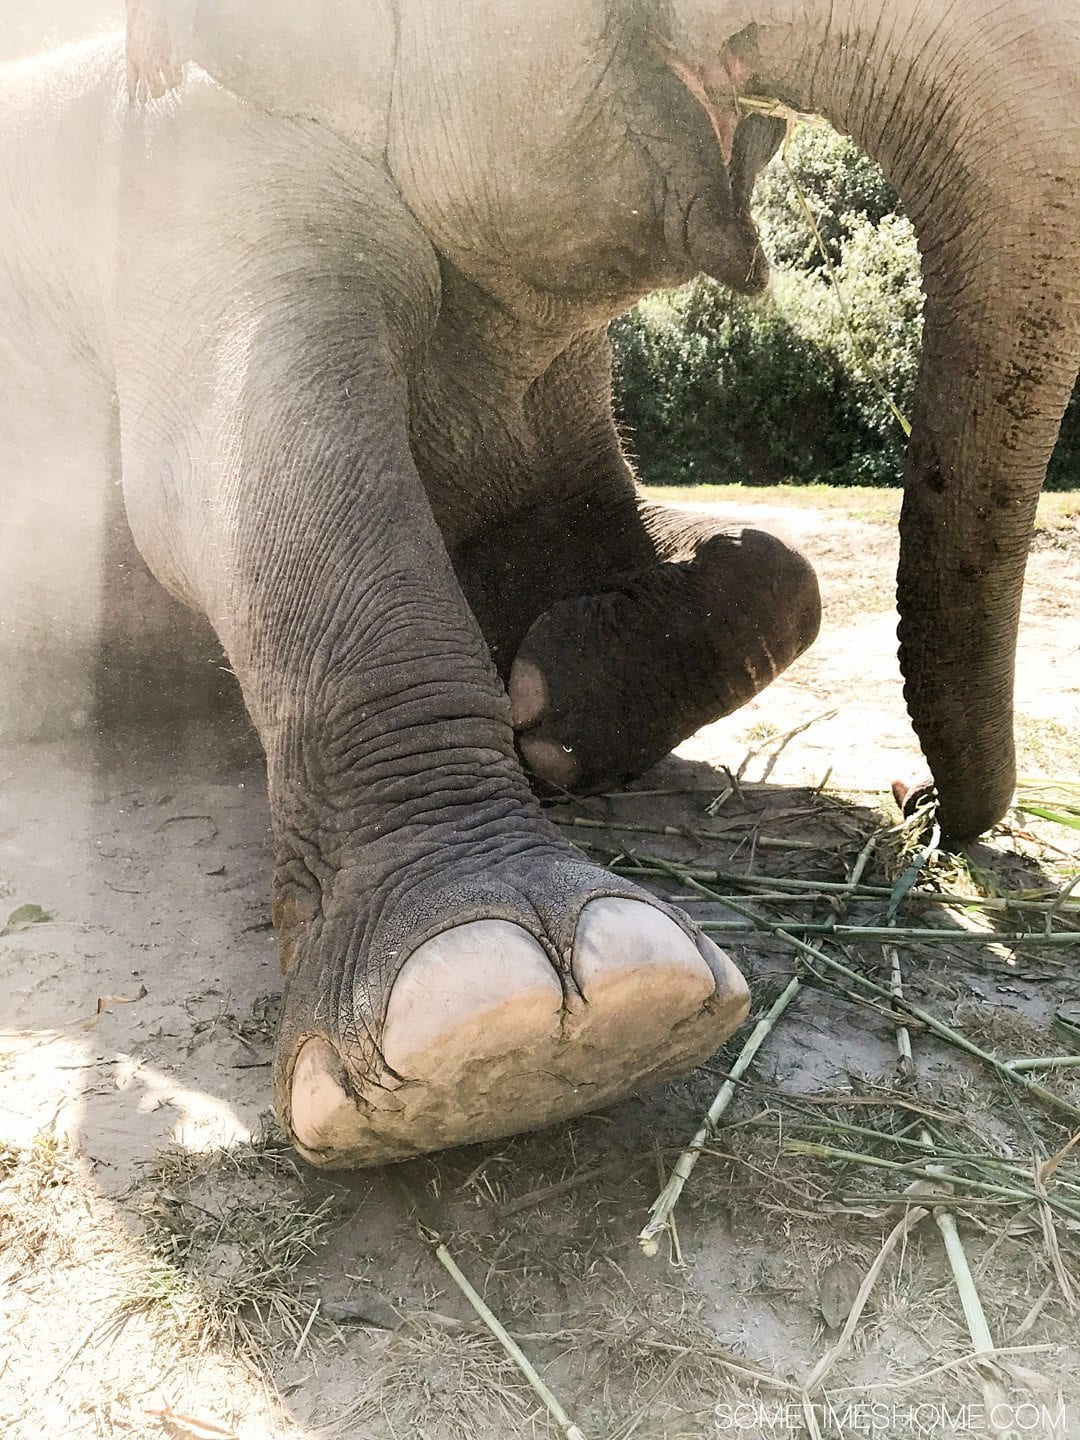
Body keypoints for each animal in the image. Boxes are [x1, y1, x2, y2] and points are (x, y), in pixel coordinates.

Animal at [0, 2, 1077, 1169]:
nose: (915, 800)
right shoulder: (199, 195)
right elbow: (230, 487)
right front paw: (519, 1023)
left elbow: (727, 562)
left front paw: (547, 710)